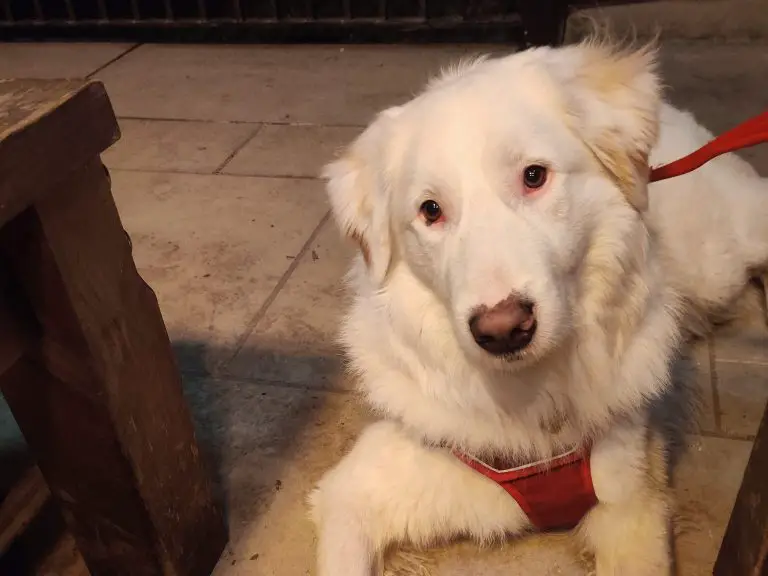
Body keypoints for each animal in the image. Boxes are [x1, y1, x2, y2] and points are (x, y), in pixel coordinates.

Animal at [308, 38, 768, 572]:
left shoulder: (633, 503)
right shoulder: (354, 493)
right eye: (430, 210)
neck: (534, 400)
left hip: (722, 255)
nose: (503, 330)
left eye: (534, 176)